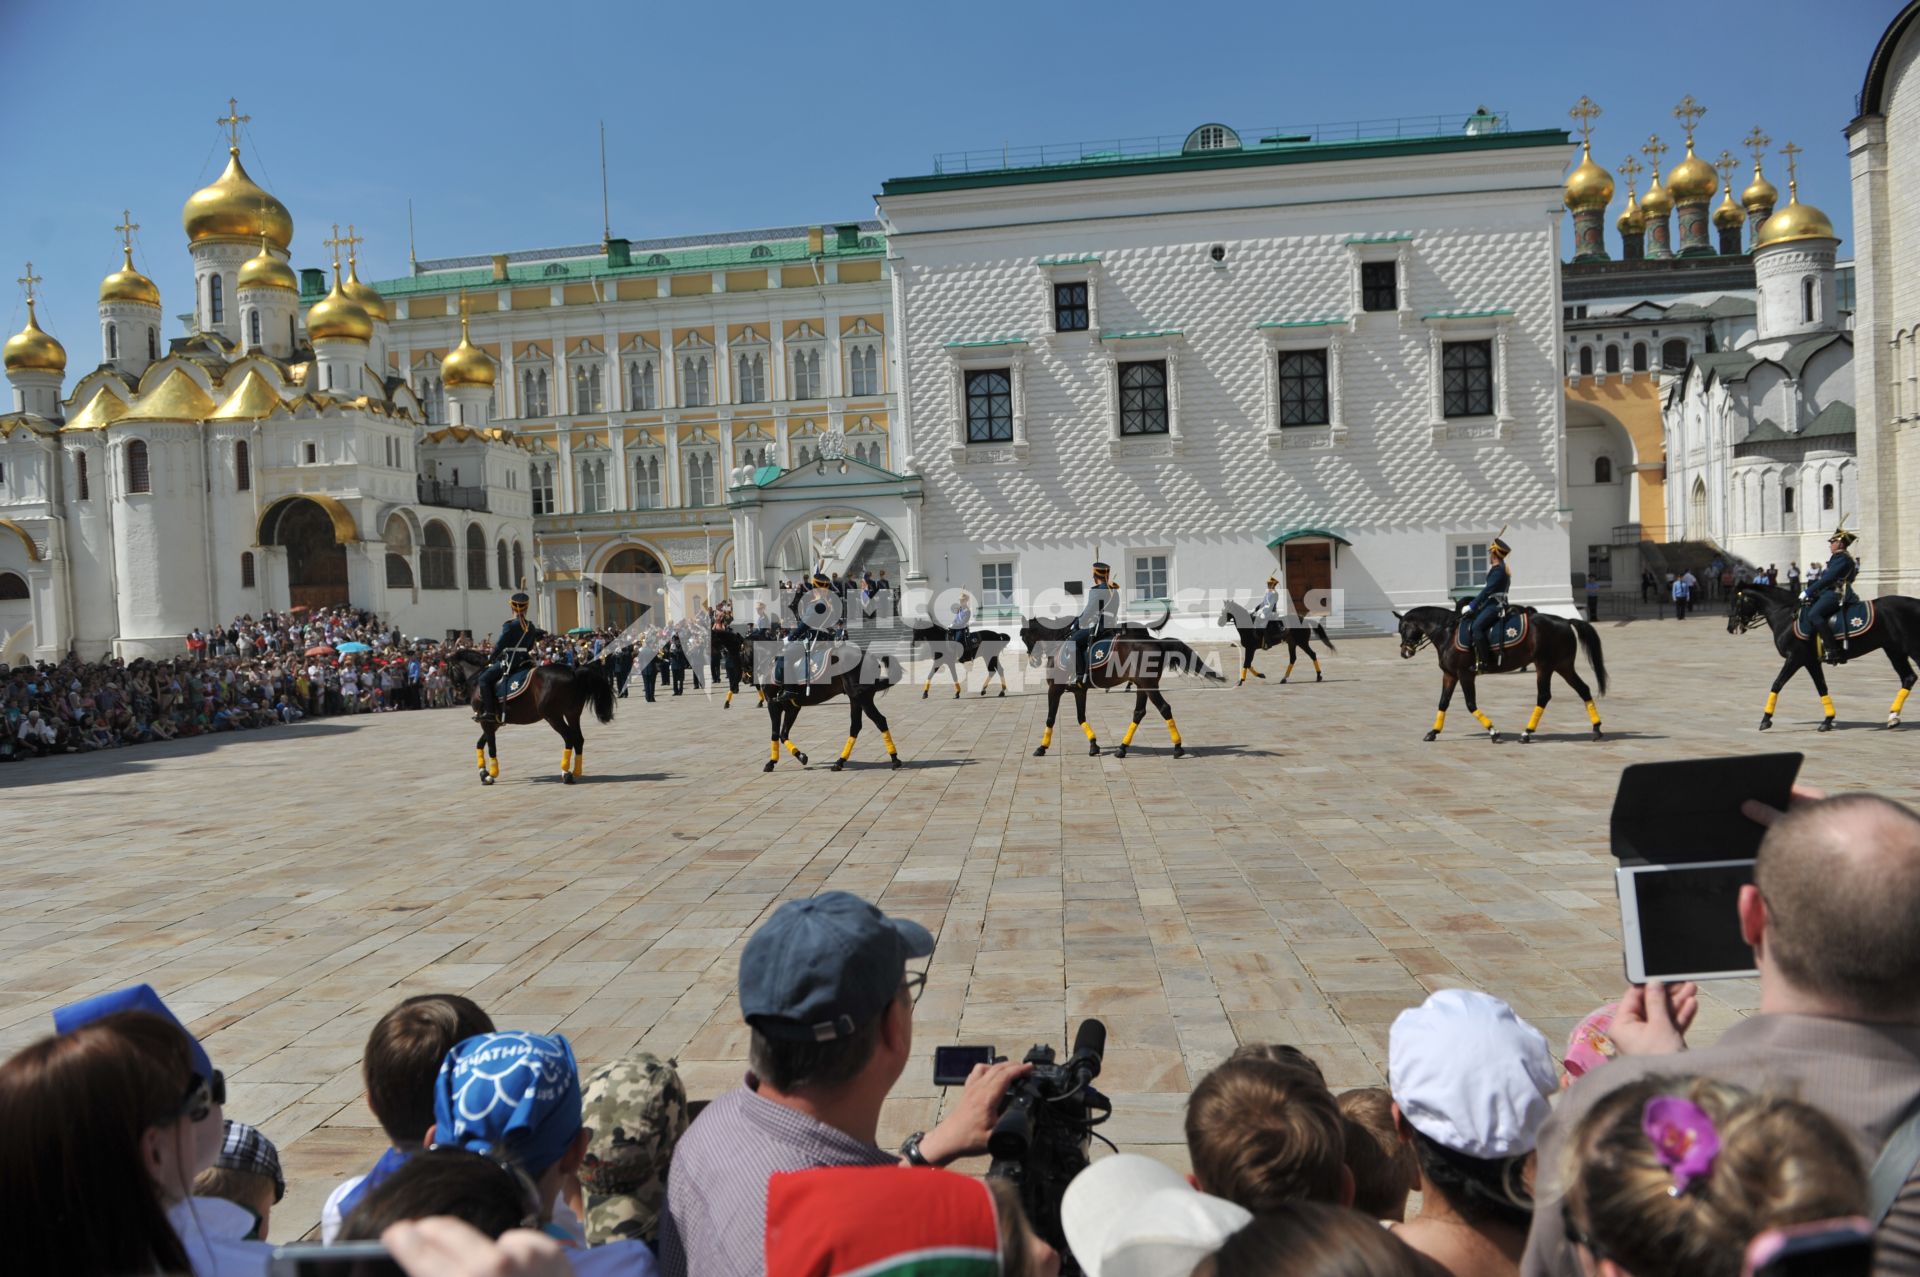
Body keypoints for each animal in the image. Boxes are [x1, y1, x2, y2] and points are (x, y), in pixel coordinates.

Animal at [447, 652, 614, 783]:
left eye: (449, 669)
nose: (458, 693)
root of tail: (573, 670)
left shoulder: (486, 722)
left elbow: (491, 747)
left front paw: (491, 774)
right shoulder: (493, 724)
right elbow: (480, 744)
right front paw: (483, 772)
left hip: (553, 716)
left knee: (569, 738)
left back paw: (566, 773)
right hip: (572, 714)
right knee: (578, 739)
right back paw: (576, 771)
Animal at [1013, 618, 1221, 756]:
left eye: (1024, 636)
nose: (1033, 661)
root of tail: (1156, 642)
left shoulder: (1054, 689)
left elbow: (1050, 718)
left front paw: (1042, 747)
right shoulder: (1080, 690)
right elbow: (1081, 717)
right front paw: (1093, 744)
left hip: (1148, 685)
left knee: (1164, 708)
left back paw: (1177, 747)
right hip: (1142, 685)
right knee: (1139, 712)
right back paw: (1122, 748)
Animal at [1397, 606, 1605, 741]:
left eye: (1403, 628)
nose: (1404, 652)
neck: (1448, 634)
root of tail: (1565, 621)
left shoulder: (1465, 674)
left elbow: (1470, 704)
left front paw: (1493, 732)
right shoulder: (1450, 675)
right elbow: (1443, 703)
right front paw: (1433, 732)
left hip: (1545, 666)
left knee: (1544, 696)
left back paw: (1527, 733)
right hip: (1563, 666)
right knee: (1583, 690)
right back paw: (1596, 729)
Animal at [1728, 583, 1920, 733]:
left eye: (1736, 602)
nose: (1730, 627)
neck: (1787, 617)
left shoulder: (1795, 658)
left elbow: (1777, 684)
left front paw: (1765, 719)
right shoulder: (1810, 661)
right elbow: (1822, 687)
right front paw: (1828, 720)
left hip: (1911, 648)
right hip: (1894, 650)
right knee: (1908, 677)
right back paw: (1893, 717)